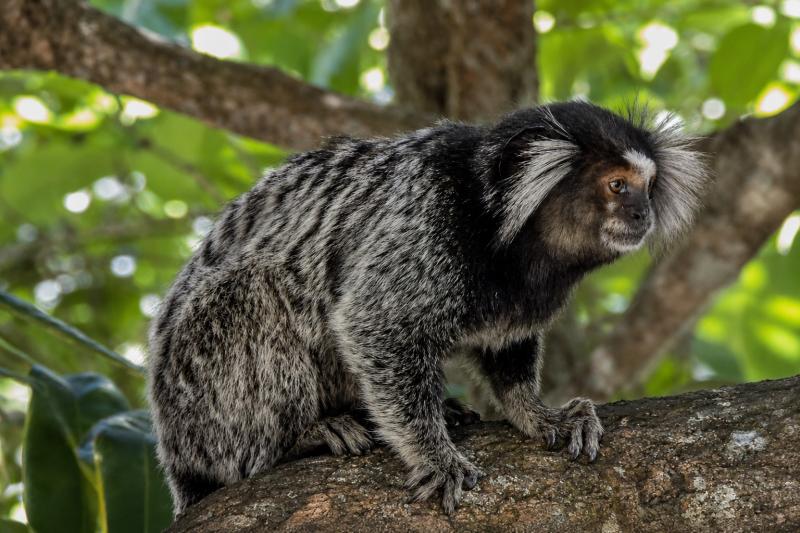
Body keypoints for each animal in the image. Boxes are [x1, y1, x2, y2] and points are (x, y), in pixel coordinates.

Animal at [147, 101, 706, 515]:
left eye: (649, 187)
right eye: (617, 185)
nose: (642, 213)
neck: (504, 233)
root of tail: (175, 456)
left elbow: (507, 354)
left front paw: (538, 414)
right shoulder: (425, 222)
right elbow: (374, 326)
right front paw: (435, 456)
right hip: (199, 397)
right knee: (255, 288)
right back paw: (302, 436)